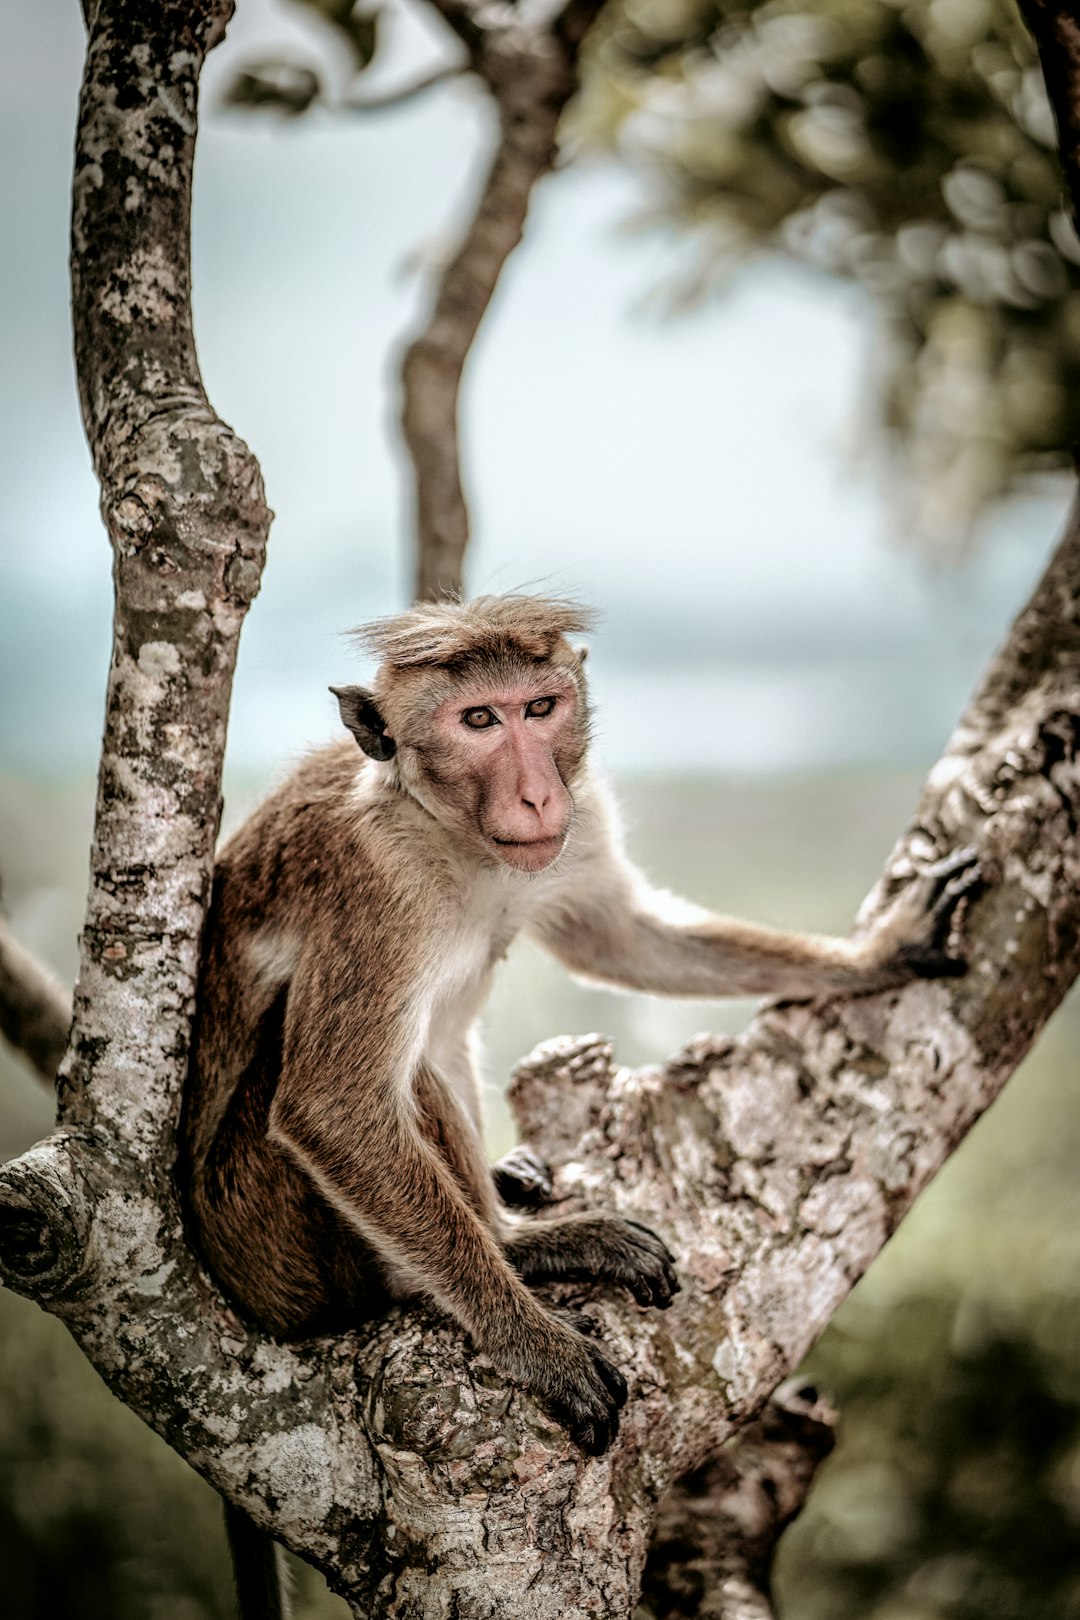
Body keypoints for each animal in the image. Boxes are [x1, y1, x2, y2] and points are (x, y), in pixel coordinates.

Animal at [177, 592, 971, 1470]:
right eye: (478, 720)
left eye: (540, 709)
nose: (536, 795)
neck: (452, 836)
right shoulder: (376, 885)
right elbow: (331, 1106)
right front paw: (536, 1346)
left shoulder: (578, 820)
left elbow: (620, 937)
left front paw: (883, 950)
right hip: (268, 1240)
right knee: (389, 1079)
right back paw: (515, 1248)